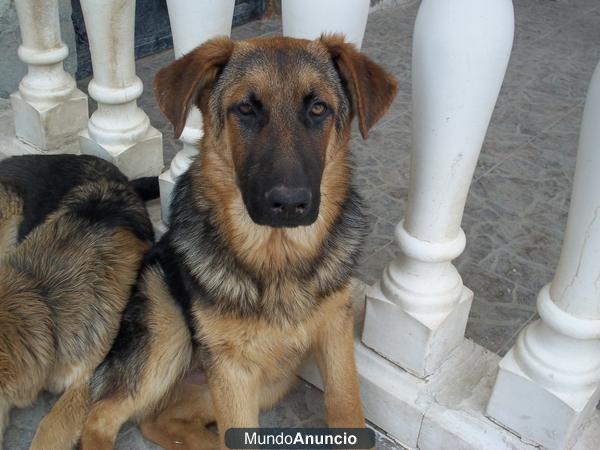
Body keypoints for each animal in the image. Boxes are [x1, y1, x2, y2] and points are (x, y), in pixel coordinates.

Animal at [68, 34, 396, 450]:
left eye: (319, 108)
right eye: (245, 109)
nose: (289, 204)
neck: (277, 256)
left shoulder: (334, 330)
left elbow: (345, 406)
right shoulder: (232, 369)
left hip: (268, 381)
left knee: (158, 421)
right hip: (168, 331)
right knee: (102, 416)